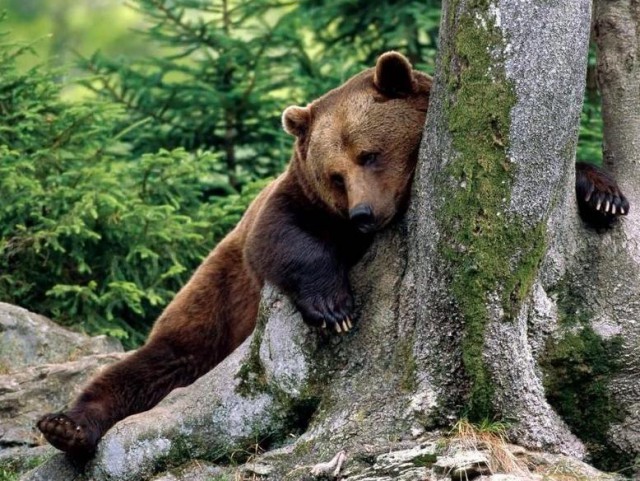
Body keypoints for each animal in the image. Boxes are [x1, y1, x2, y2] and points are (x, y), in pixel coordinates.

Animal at [36, 51, 628, 457]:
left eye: (370, 153)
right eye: (335, 174)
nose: (363, 215)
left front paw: (603, 194)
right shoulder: (294, 202)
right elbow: (282, 235)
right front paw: (334, 307)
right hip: (213, 303)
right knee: (155, 364)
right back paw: (67, 424)